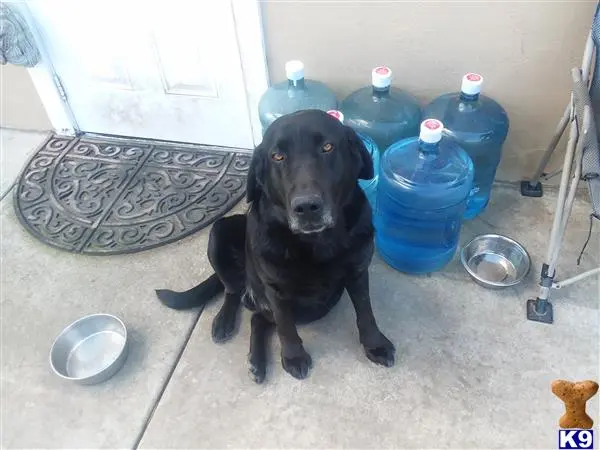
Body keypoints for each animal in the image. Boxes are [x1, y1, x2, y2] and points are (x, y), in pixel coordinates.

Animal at [157, 109, 396, 384]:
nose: (306, 207)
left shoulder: (357, 272)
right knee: (233, 291)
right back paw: (224, 322)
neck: (317, 244)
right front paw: (293, 357)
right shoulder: (276, 291)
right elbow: (285, 327)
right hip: (219, 234)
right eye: (277, 156)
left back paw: (256, 361)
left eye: (327, 147)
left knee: (258, 318)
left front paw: (375, 344)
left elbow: (366, 313)